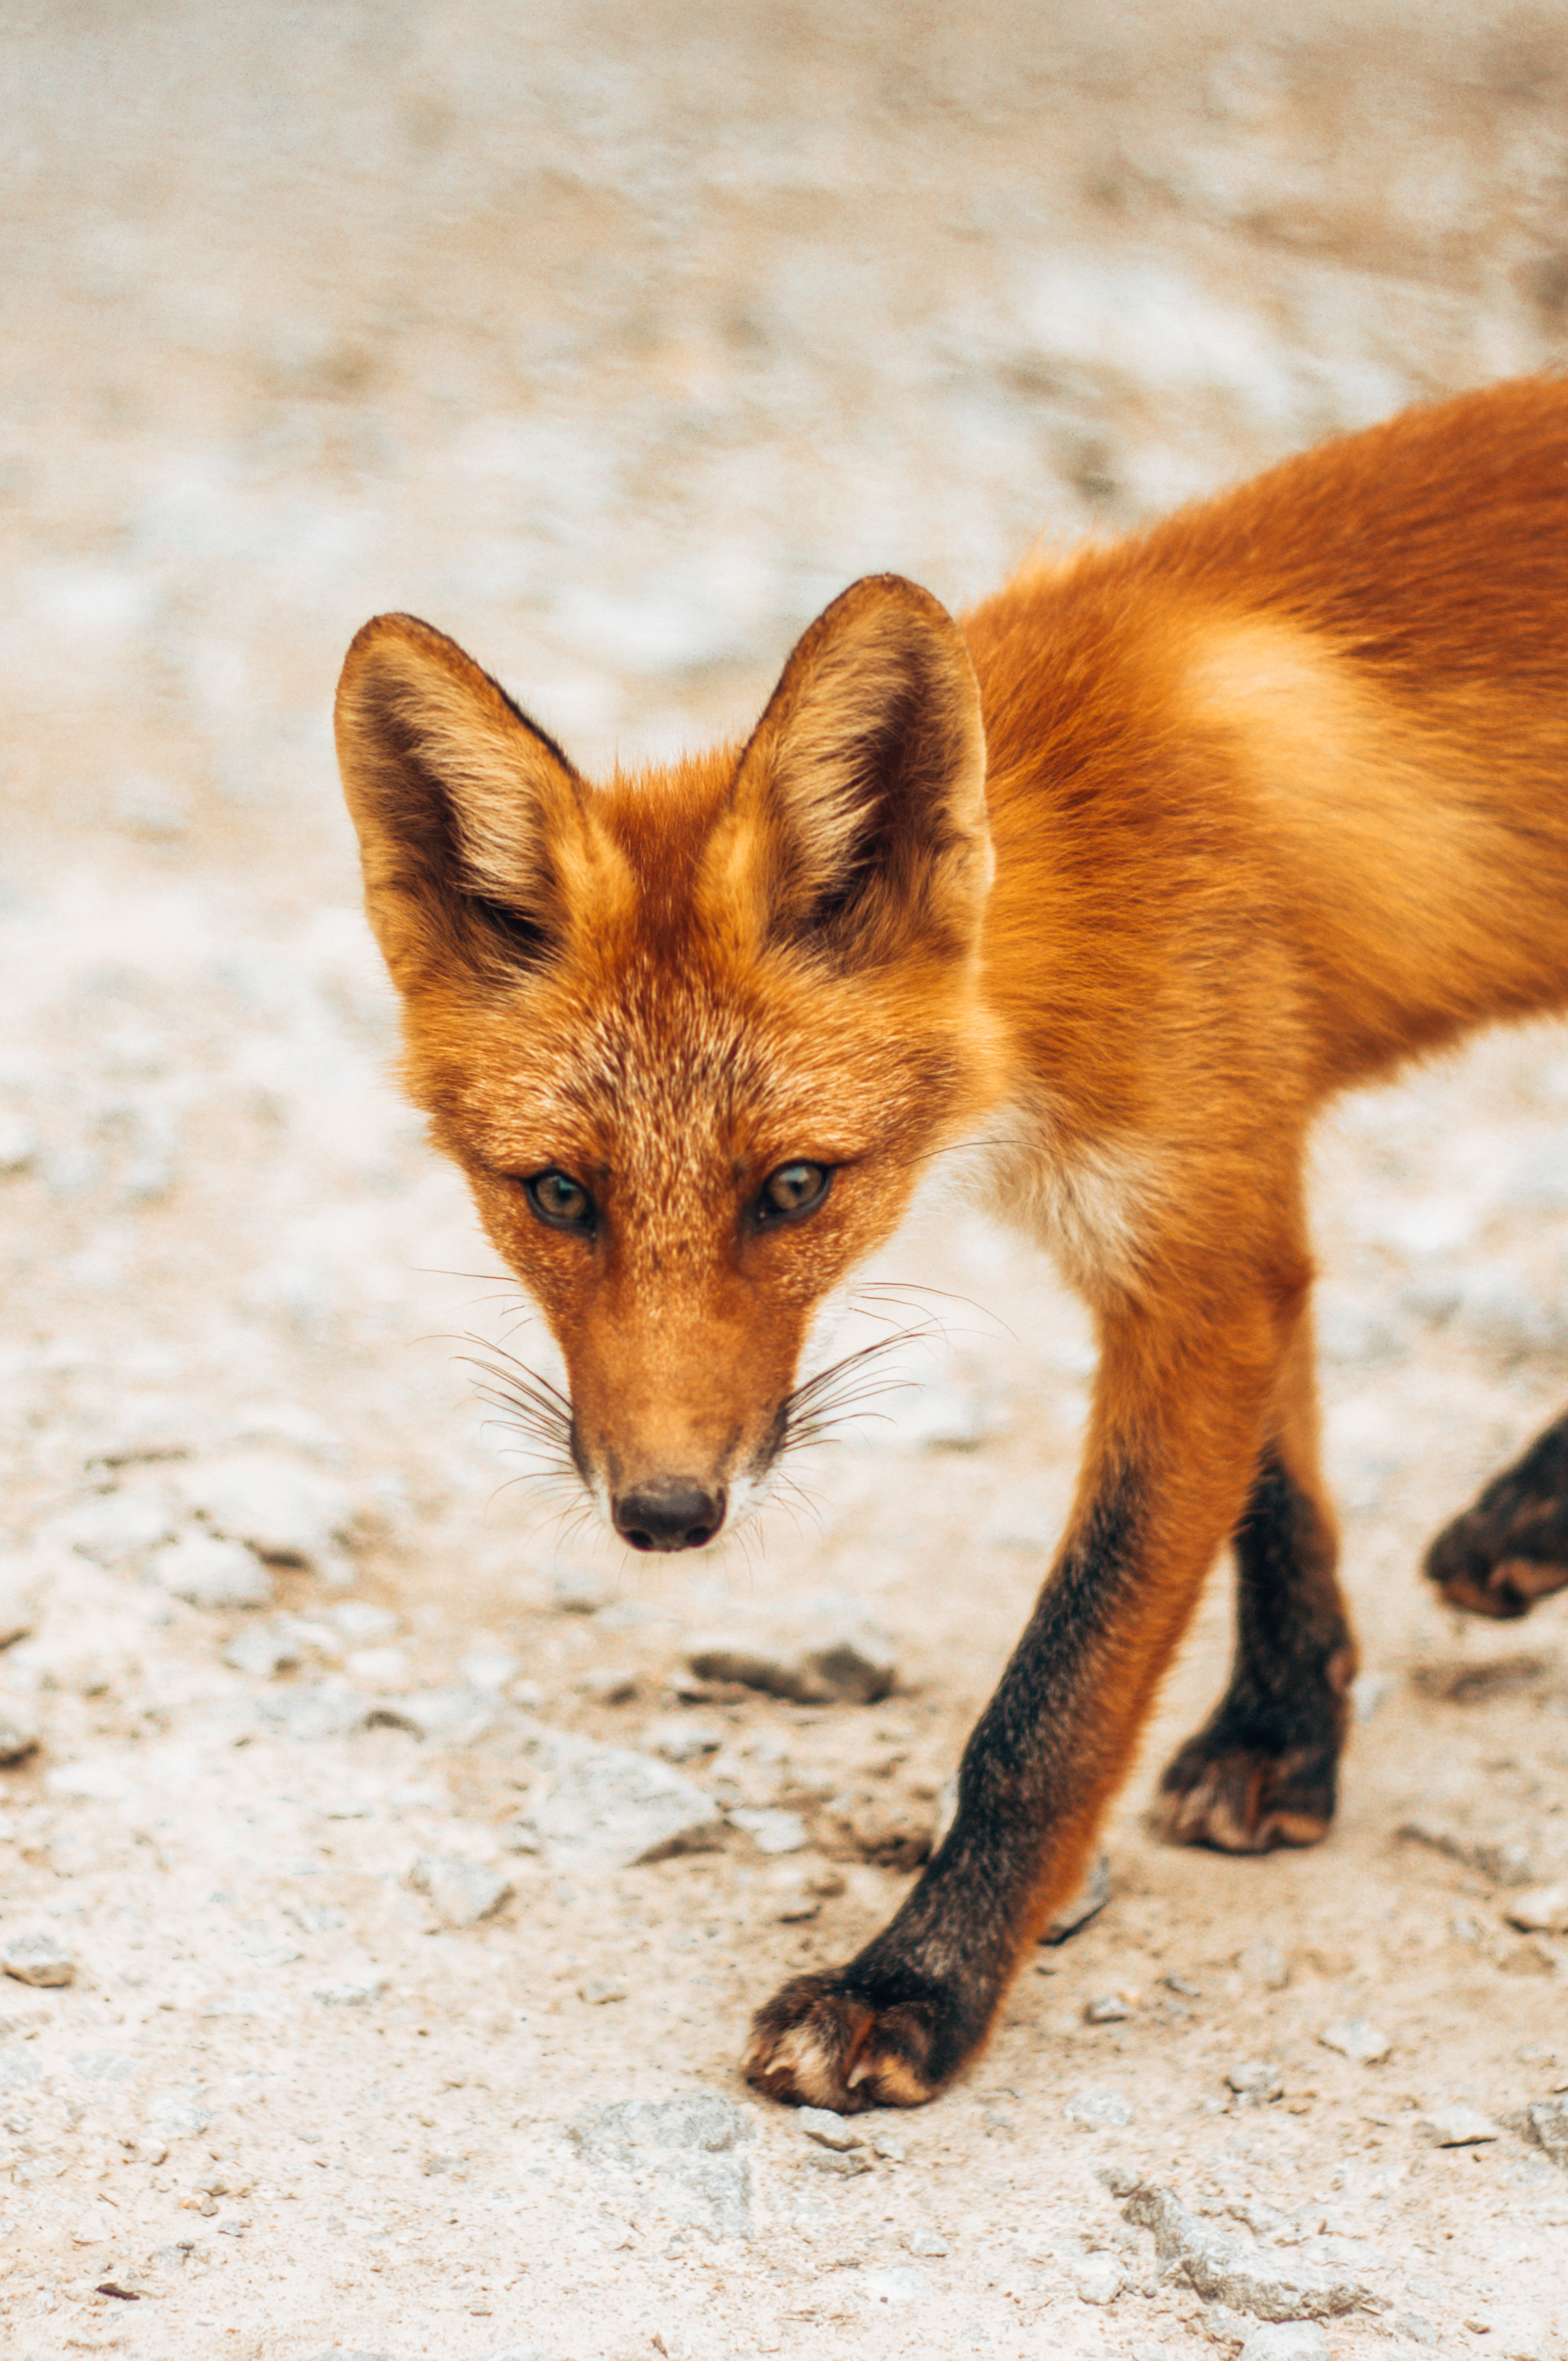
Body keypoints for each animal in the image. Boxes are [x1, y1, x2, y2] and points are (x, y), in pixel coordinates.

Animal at [338, 377, 1568, 2115]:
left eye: (795, 1186)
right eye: (557, 1195)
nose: (665, 1514)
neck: (1090, 894)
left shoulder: (1193, 1240)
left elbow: (1057, 1695)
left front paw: (912, 1984)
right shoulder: (1217, 1216)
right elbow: (1278, 1491)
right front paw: (1284, 1731)